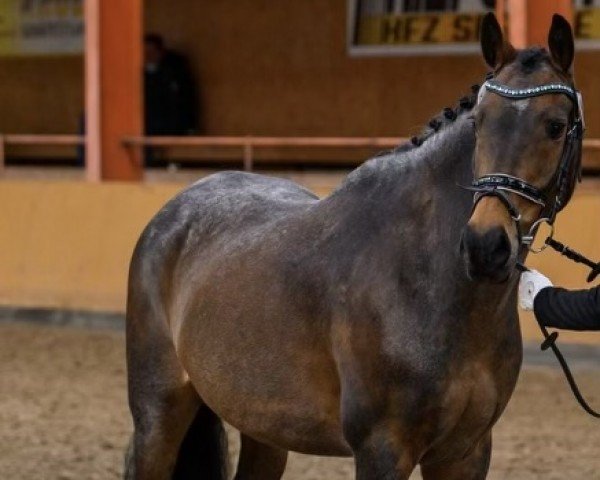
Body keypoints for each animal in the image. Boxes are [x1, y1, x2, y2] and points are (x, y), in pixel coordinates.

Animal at [125, 14, 580, 480]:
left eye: (556, 126)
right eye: (479, 124)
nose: (484, 246)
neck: (429, 282)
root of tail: (176, 210)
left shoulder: (465, 452)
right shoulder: (382, 448)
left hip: (264, 429)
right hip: (158, 413)